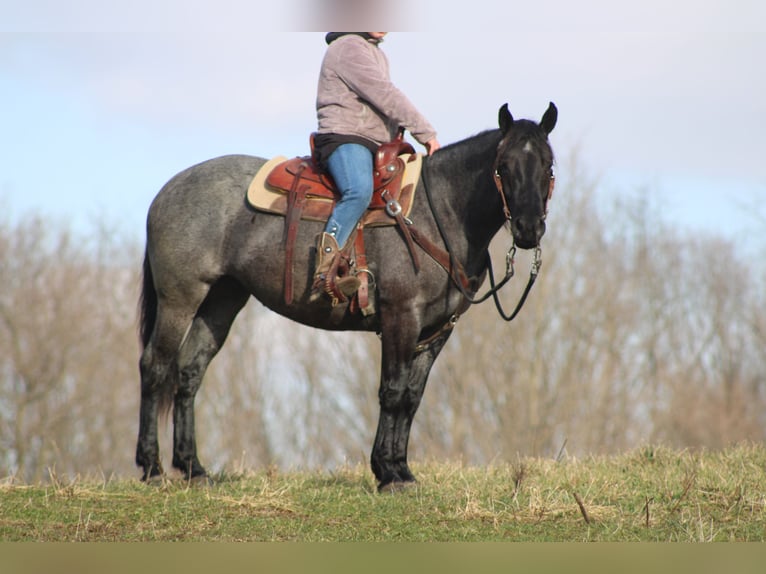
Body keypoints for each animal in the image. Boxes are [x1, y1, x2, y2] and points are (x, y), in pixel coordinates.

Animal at [136, 102, 558, 491]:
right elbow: (392, 392)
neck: (439, 213)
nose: (528, 228)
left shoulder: (436, 330)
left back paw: (193, 468)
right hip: (179, 299)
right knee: (155, 367)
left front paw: (402, 470)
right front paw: (388, 473)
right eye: (503, 165)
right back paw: (152, 468)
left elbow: (412, 397)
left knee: (189, 372)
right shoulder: (401, 318)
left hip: (222, 300)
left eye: (548, 164)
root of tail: (167, 191)